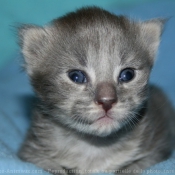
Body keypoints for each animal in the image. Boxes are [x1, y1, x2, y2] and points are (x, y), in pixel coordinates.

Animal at [18, 6, 175, 175]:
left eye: (127, 75)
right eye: (76, 76)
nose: (107, 101)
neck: (95, 147)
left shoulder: (156, 151)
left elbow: (135, 167)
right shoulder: (31, 151)